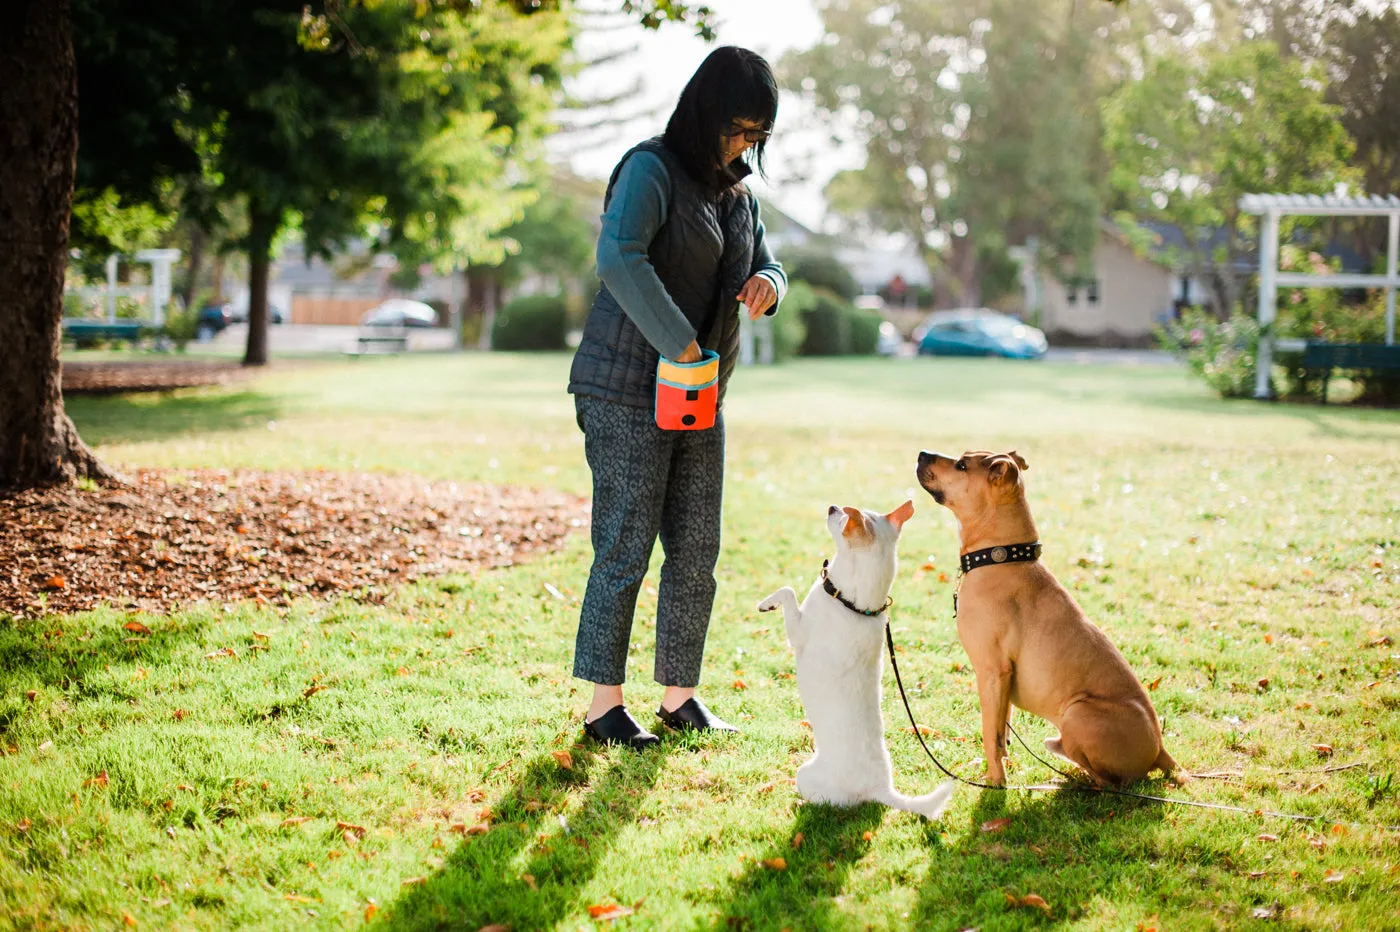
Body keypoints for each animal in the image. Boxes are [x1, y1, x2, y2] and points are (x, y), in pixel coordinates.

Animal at [761, 498, 957, 817]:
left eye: (844, 519)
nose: (831, 506)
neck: (852, 603)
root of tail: (881, 790)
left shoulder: (798, 634)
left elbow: (788, 592)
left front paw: (767, 602)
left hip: (807, 776)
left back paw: (800, 802)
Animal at [918, 450, 1181, 783]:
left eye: (962, 465)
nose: (922, 454)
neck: (1001, 556)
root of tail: (1160, 750)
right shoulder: (1003, 679)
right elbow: (1002, 731)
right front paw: (1002, 768)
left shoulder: (991, 671)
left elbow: (990, 734)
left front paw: (994, 783)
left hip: (1078, 712)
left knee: (1107, 782)